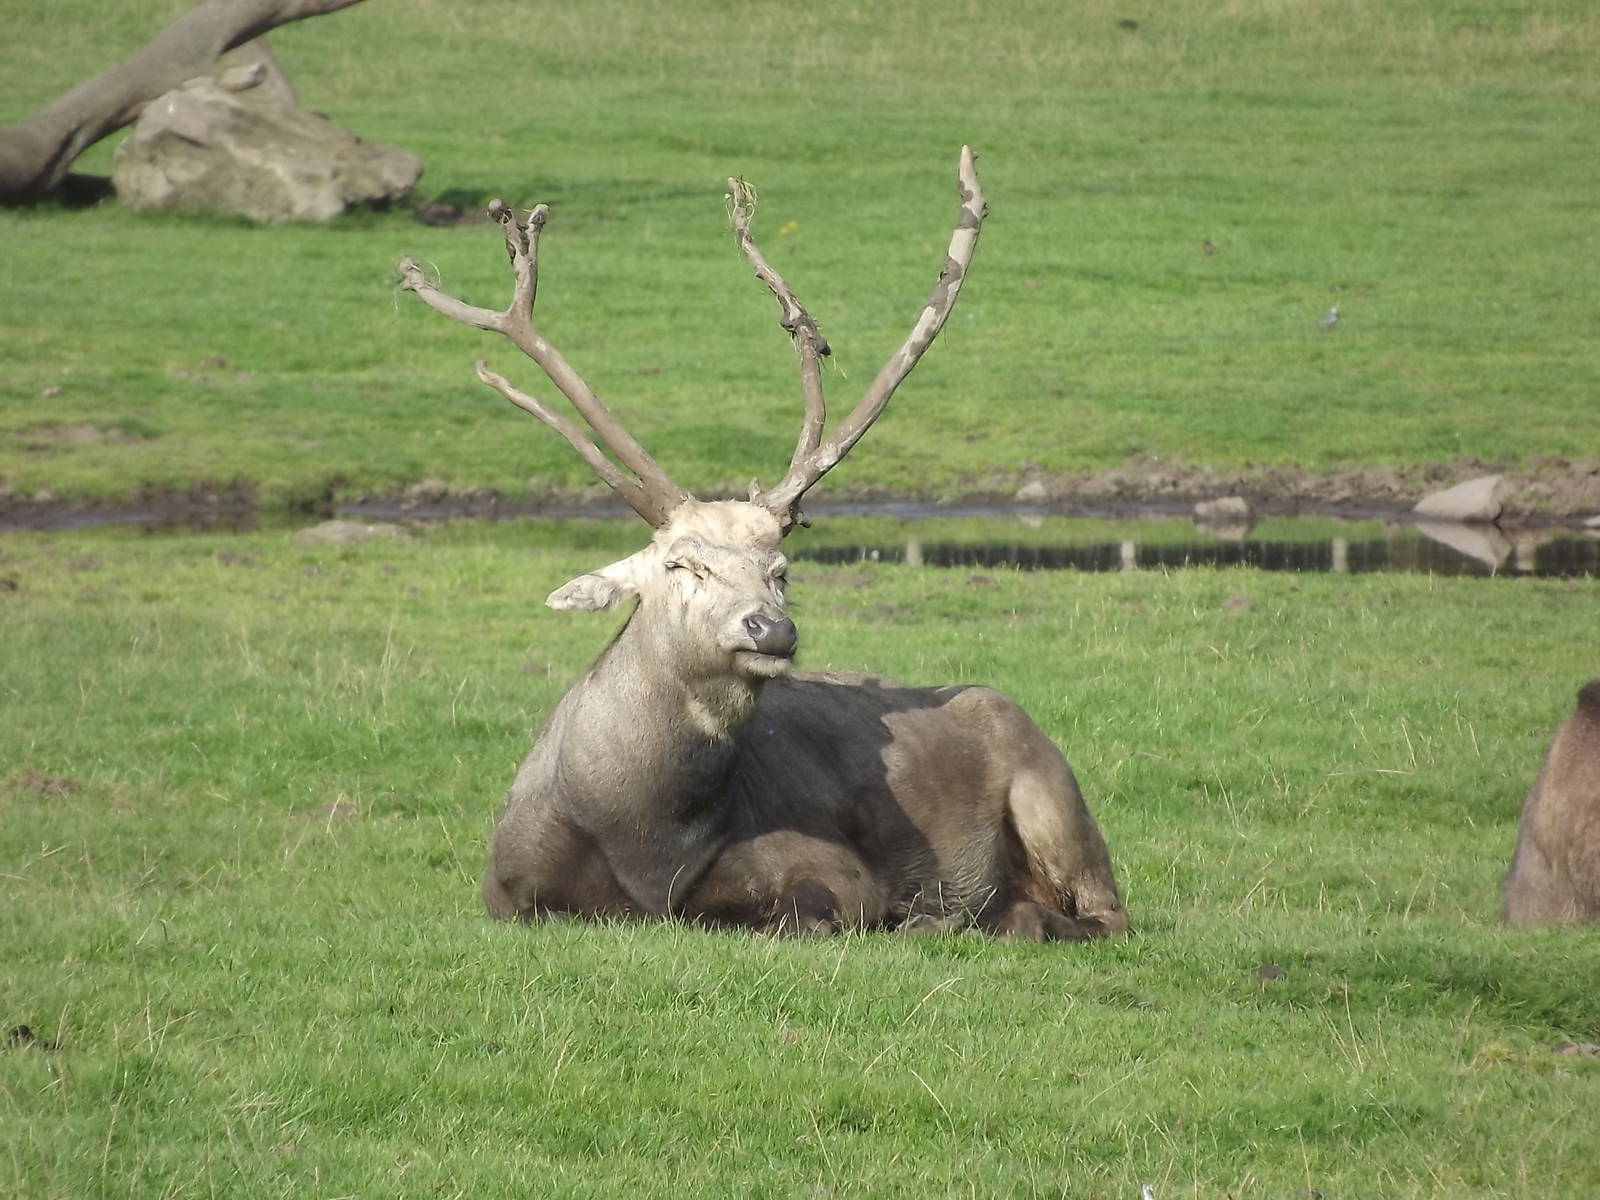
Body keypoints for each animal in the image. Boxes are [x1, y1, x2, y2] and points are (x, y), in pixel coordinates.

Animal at [397, 148, 1129, 940]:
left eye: (781, 570)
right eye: (681, 564)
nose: (771, 630)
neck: (646, 843)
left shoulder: (834, 871)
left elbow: (797, 911)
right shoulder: (506, 887)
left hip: (1054, 794)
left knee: (1104, 912)